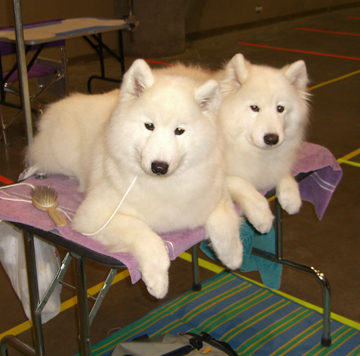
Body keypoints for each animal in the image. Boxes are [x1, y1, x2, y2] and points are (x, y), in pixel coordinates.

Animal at [26, 59, 243, 298]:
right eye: (149, 126)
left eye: (179, 131)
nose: (159, 167)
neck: (163, 185)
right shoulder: (94, 216)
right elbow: (147, 235)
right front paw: (158, 281)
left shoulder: (215, 195)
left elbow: (225, 221)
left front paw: (233, 256)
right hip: (62, 152)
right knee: (40, 157)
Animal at [217, 55, 310, 234]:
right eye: (254, 108)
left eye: (280, 108)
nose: (272, 139)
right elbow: (242, 184)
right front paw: (262, 216)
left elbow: (282, 172)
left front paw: (291, 197)